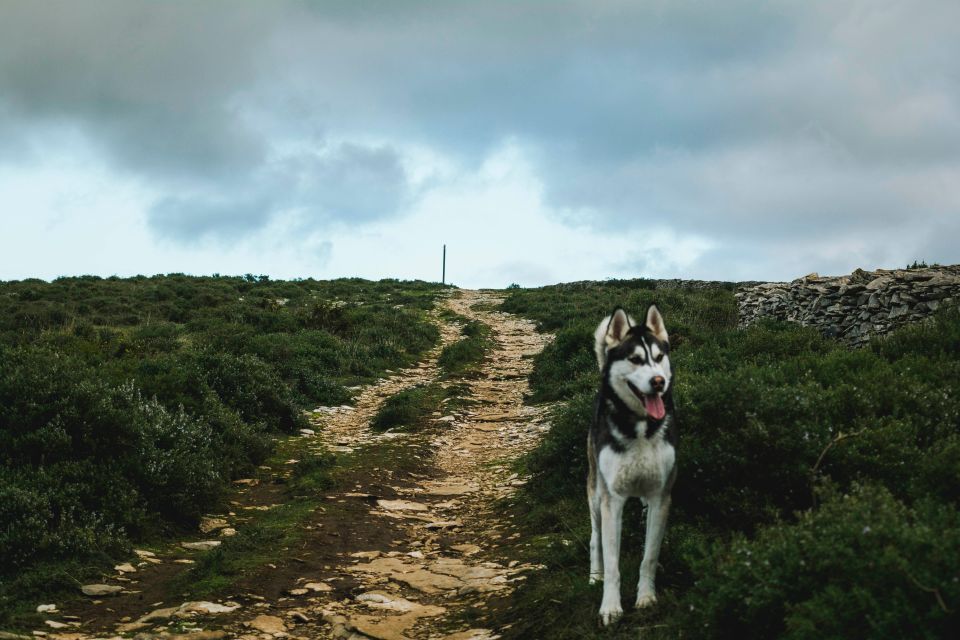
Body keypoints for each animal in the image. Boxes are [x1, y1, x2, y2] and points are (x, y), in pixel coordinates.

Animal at [584, 304, 676, 624]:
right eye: (635, 359)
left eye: (659, 357)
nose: (659, 382)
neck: (641, 429)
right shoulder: (613, 500)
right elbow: (613, 561)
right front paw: (610, 606)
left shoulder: (661, 496)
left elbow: (649, 555)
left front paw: (646, 597)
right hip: (595, 494)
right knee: (595, 539)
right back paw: (594, 576)